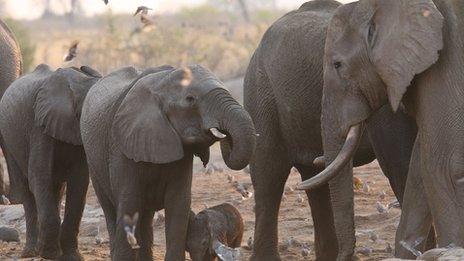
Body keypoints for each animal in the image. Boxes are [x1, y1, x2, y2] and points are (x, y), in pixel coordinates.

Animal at [0, 63, 101, 258]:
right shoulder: (39, 124)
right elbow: (39, 175)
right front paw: (50, 255)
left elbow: (79, 181)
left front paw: (72, 257)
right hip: (10, 141)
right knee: (27, 190)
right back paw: (31, 252)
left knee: (56, 189)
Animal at [80, 64, 254, 258]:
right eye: (190, 99)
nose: (223, 133)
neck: (161, 81)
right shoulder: (120, 147)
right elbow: (129, 205)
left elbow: (178, 204)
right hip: (94, 164)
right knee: (111, 210)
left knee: (145, 216)